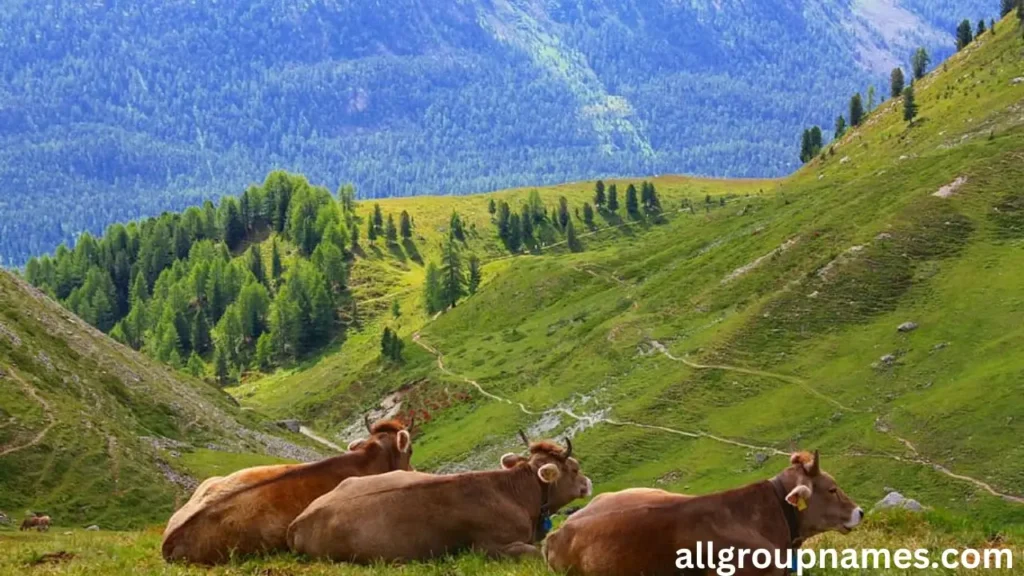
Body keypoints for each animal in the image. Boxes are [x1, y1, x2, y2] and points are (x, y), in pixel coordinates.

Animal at [286, 432, 593, 557]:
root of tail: (298, 521)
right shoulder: (488, 547)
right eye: (574, 468)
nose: (588, 483)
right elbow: (533, 552)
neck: (514, 494)